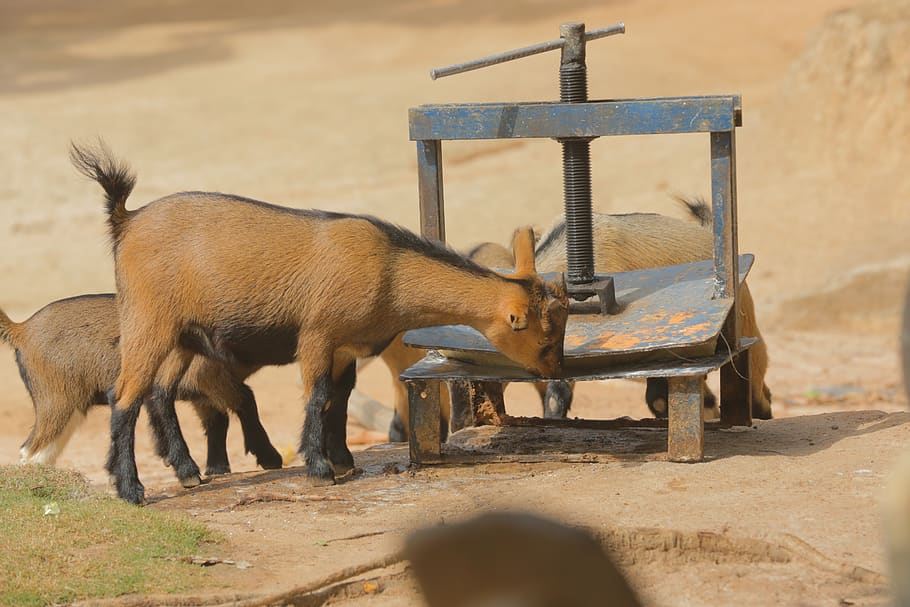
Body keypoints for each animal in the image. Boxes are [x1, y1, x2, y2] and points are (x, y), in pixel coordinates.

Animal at [0, 294, 282, 484]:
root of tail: (21, 329)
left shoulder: (202, 396)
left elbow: (216, 422)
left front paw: (215, 468)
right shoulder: (212, 380)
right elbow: (246, 401)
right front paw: (270, 458)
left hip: (71, 406)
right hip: (58, 401)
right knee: (31, 450)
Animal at [71, 142, 568, 504]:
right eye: (542, 335)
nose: (553, 372)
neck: (388, 269)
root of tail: (126, 221)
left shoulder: (347, 347)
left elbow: (340, 400)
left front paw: (344, 460)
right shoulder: (317, 335)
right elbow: (317, 396)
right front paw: (319, 468)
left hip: (183, 337)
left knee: (159, 392)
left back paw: (188, 471)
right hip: (148, 320)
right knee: (124, 396)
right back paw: (132, 489)